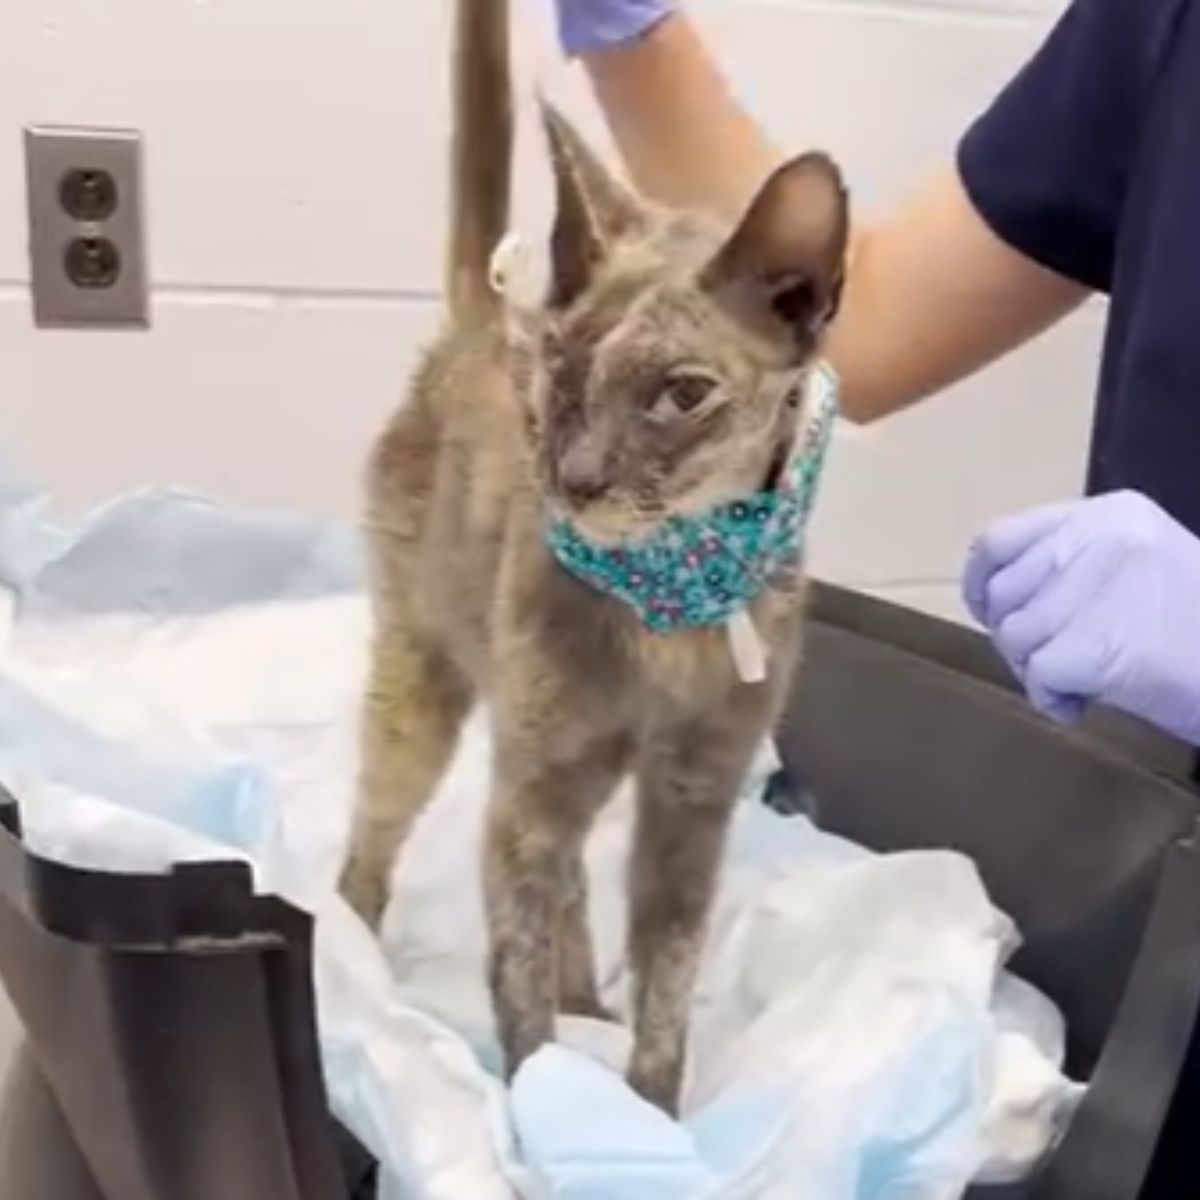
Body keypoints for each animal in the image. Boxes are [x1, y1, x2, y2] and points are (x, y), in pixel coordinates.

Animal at [333, 0, 849, 1113]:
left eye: (682, 393)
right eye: (561, 369)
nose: (573, 475)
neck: (671, 604)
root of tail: (483, 319)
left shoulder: (691, 805)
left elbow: (668, 981)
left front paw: (648, 1109)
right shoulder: (532, 791)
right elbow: (517, 978)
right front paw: (546, 1107)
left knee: (572, 889)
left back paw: (587, 1003)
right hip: (426, 687)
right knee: (377, 842)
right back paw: (349, 958)